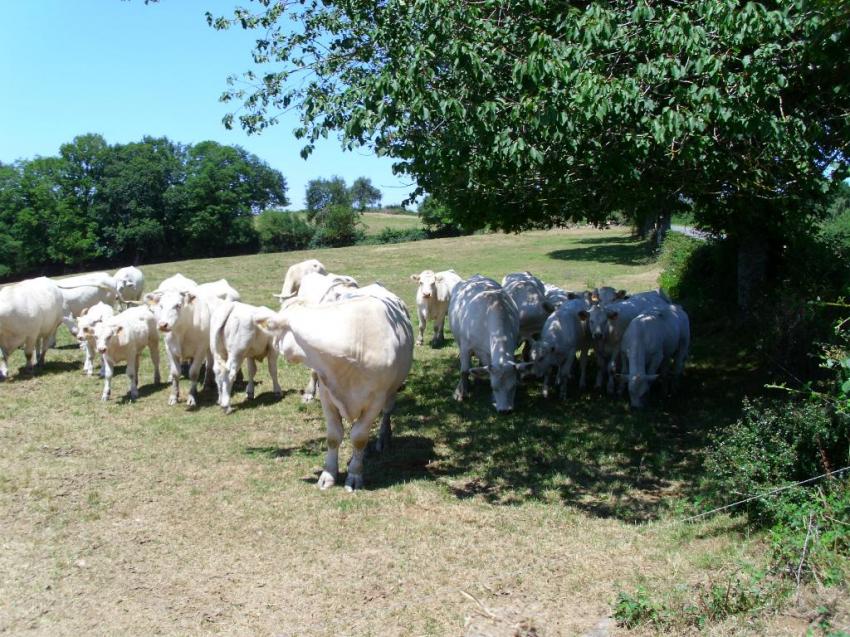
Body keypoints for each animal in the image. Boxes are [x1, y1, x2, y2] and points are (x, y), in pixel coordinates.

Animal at [257, 285, 413, 491]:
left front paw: (354, 475)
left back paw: (383, 438)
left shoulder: (375, 400)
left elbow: (359, 437)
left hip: (391, 391)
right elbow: (333, 436)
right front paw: (328, 474)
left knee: (387, 412)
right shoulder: (327, 396)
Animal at [449, 275, 530, 413]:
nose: (505, 411)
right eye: (494, 387)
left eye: (513, 387)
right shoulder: (466, 346)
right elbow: (464, 370)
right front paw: (461, 392)